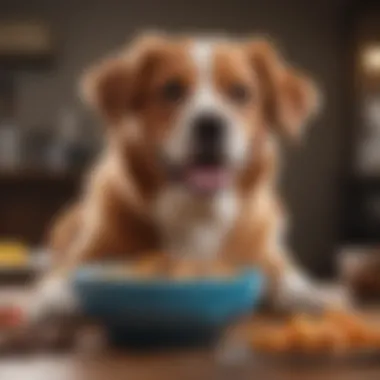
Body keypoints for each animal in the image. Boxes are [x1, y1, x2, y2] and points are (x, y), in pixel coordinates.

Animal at [27, 31, 350, 318]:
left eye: (240, 92)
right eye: (172, 89)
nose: (210, 124)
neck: (197, 209)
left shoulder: (262, 250)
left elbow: (282, 271)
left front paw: (304, 292)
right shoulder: (93, 249)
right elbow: (68, 273)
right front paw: (53, 298)